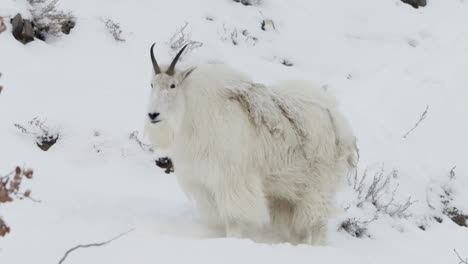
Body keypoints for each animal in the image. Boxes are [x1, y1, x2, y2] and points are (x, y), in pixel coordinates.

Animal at [144, 43, 356, 245]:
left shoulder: (232, 180)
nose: (153, 115)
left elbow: (234, 218)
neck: (193, 115)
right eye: (152, 84)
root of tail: (334, 115)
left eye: (172, 85)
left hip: (318, 185)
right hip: (286, 190)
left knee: (317, 222)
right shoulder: (206, 185)